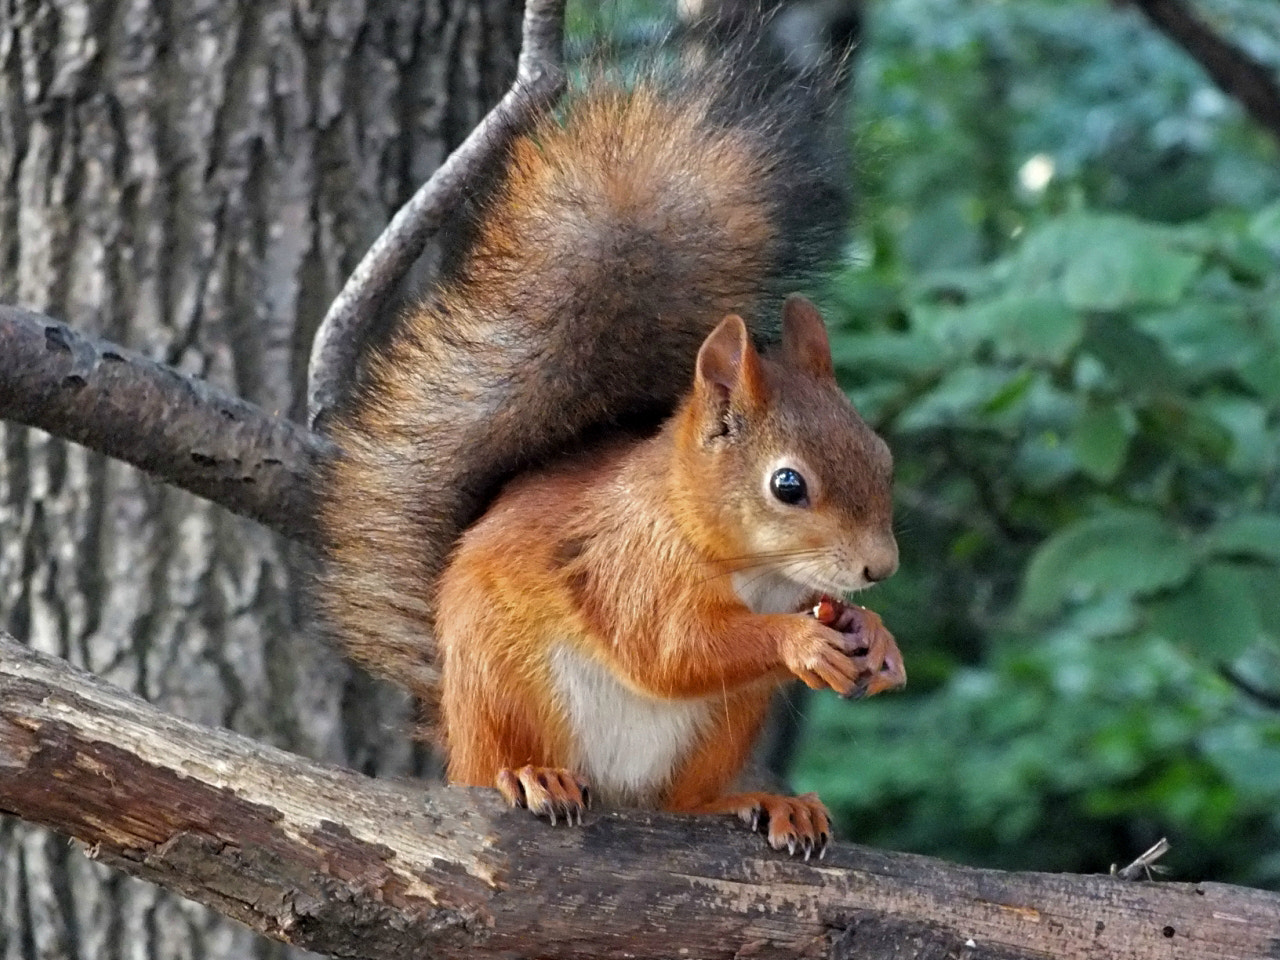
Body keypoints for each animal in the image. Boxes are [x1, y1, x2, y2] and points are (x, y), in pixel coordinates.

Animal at [317, 34, 903, 857]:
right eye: (788, 486)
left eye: (882, 457)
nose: (880, 568)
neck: (750, 566)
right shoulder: (629, 566)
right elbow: (668, 649)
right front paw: (801, 642)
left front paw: (874, 636)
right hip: (506, 684)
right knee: (506, 761)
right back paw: (533, 778)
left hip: (726, 721)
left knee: (682, 801)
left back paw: (756, 801)